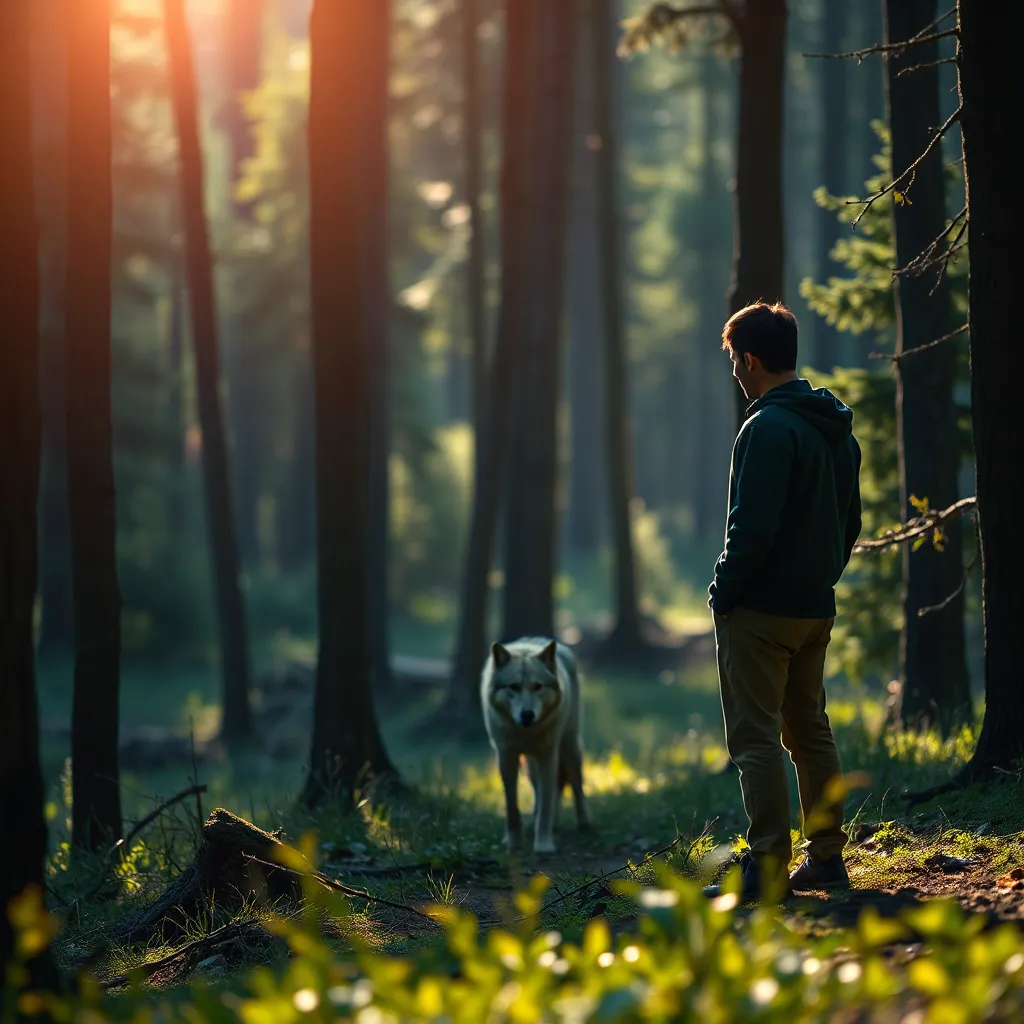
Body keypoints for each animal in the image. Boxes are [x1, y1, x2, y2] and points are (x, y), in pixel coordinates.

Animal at [480, 637, 590, 854]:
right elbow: (512, 807)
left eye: (538, 686)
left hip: (570, 749)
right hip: (530, 766)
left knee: (576, 786)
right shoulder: (506, 759)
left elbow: (546, 808)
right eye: (513, 687)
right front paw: (514, 843)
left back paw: (583, 823)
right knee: (540, 792)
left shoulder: (548, 757)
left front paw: (544, 845)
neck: (526, 732)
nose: (527, 714)